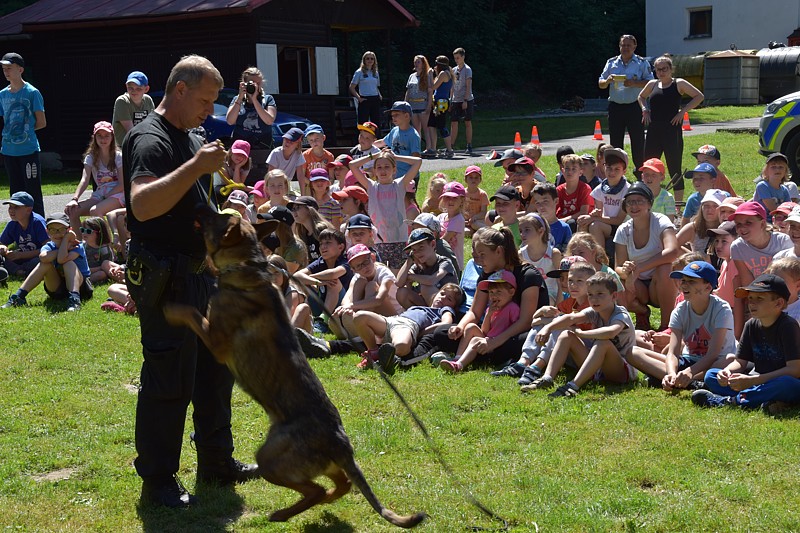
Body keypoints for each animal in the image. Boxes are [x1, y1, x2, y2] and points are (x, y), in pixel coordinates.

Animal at [162, 208, 424, 528]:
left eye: (215, 216)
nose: (199, 207)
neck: (248, 269)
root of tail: (340, 442)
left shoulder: (216, 342)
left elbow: (191, 312)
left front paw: (171, 309)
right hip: (317, 465)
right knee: (341, 485)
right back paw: (320, 505)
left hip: (270, 458)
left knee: (316, 489)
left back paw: (283, 513)